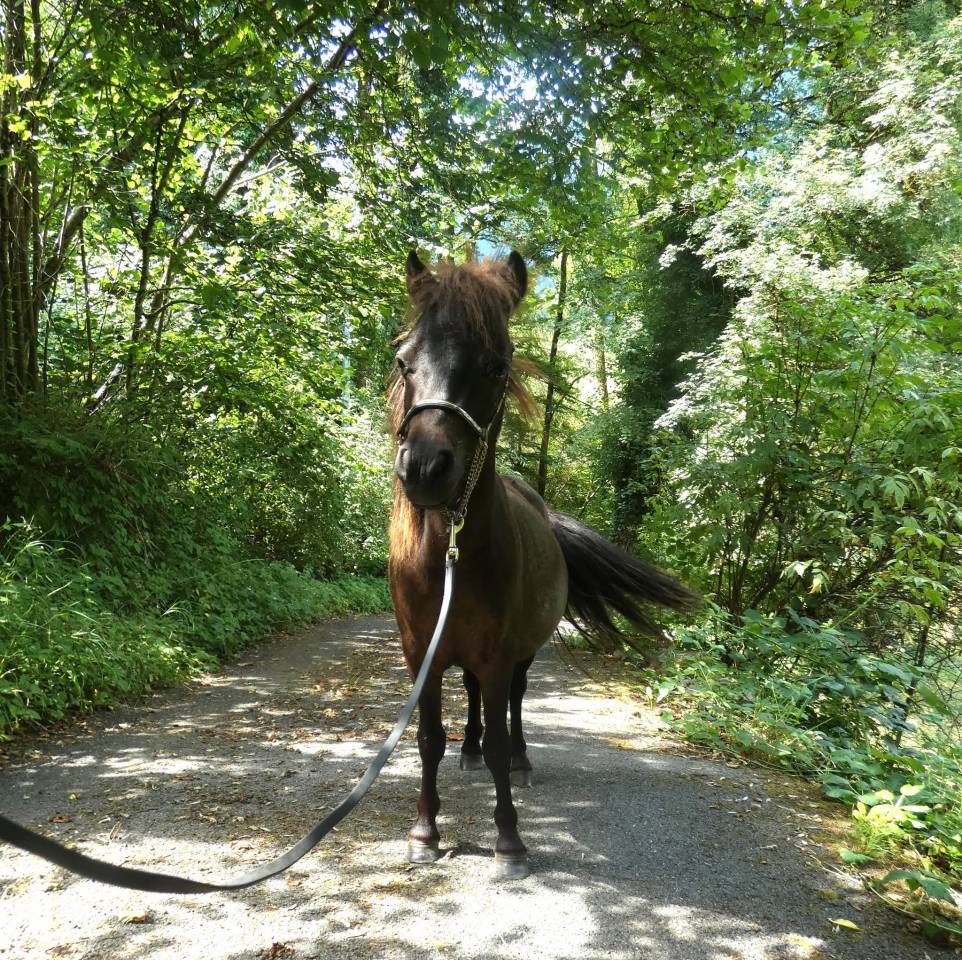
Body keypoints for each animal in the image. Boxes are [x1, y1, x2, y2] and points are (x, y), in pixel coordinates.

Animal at [388, 250, 699, 880]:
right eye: (404, 361)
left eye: (497, 365)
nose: (425, 469)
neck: (446, 553)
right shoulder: (420, 654)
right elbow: (428, 738)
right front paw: (425, 831)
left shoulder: (499, 651)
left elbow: (502, 739)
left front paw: (509, 840)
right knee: (476, 700)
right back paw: (468, 749)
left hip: (523, 652)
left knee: (512, 704)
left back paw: (521, 761)